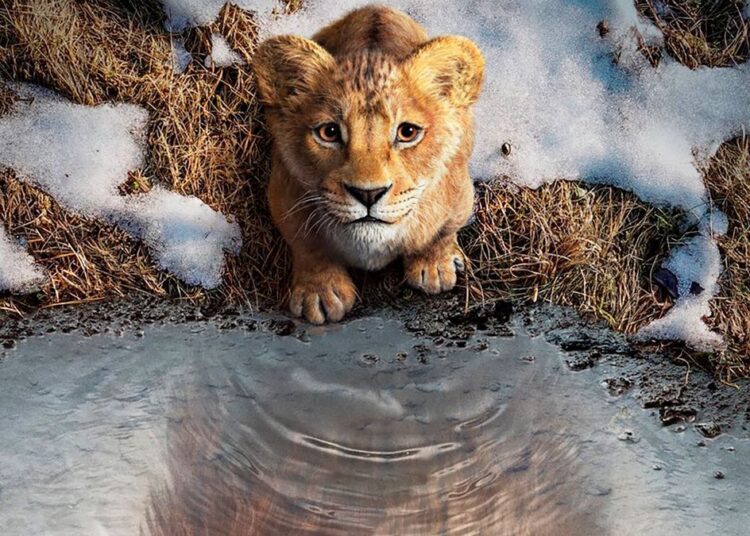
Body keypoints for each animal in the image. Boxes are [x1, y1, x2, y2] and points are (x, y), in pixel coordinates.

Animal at [254, 5, 485, 324]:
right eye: (329, 132)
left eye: (407, 132)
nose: (368, 194)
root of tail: (376, 8)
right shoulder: (283, 192)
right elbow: (307, 244)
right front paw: (320, 292)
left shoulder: (460, 193)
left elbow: (442, 231)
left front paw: (434, 266)